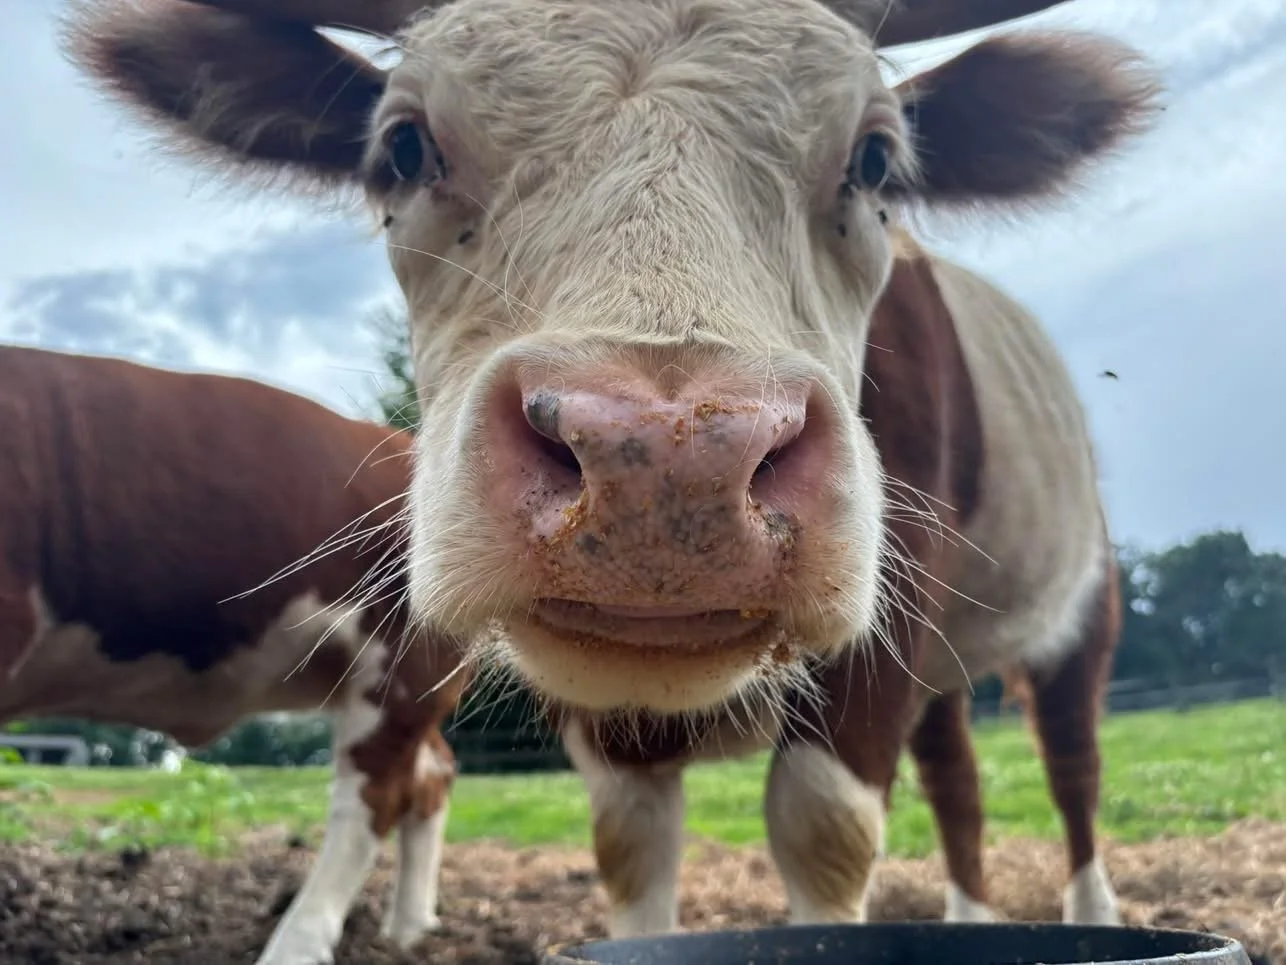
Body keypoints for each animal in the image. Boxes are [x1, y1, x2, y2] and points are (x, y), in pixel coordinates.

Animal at [63, 0, 1164, 943]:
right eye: (403, 147)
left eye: (875, 158)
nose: (666, 459)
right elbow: (634, 846)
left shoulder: (882, 649)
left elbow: (821, 827)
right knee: (956, 775)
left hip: (1081, 611)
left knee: (1072, 766)